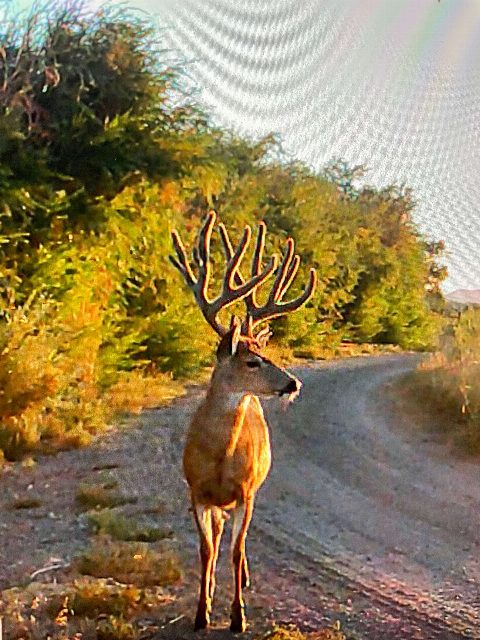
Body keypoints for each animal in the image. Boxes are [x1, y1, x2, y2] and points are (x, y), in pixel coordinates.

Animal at [170, 211, 316, 633]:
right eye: (252, 361)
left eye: (265, 354)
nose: (293, 382)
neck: (219, 459)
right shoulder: (196, 491)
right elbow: (206, 549)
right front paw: (201, 611)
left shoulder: (246, 492)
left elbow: (236, 550)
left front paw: (238, 617)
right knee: (217, 537)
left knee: (238, 543)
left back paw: (244, 578)